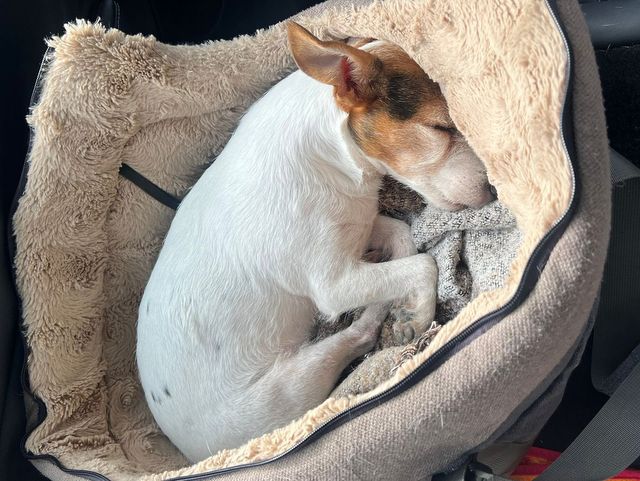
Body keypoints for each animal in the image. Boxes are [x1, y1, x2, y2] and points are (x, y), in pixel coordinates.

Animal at [136, 22, 494, 462]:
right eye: (441, 127)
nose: (494, 188)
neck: (333, 155)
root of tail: (187, 452)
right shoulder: (333, 284)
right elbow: (422, 264)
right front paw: (418, 313)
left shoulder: (360, 224)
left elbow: (402, 237)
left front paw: (404, 298)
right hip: (294, 386)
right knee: (357, 337)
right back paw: (375, 315)